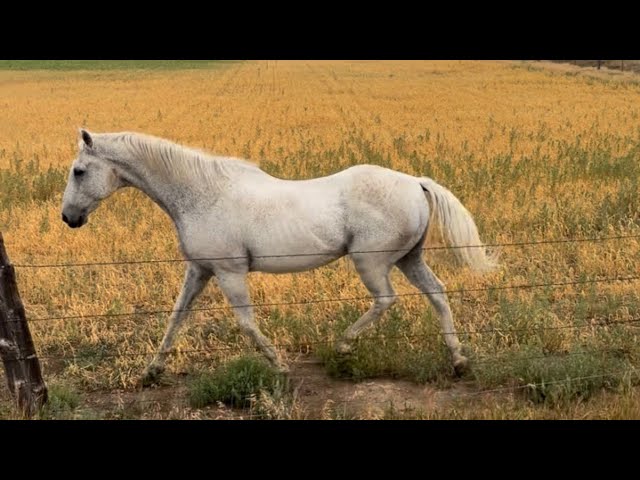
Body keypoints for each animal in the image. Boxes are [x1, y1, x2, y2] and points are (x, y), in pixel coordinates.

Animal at [61, 129, 497, 385]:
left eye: (79, 171)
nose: (69, 218)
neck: (201, 195)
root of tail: (415, 182)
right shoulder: (200, 270)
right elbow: (176, 318)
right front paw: (150, 372)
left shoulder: (229, 272)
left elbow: (246, 323)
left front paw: (280, 365)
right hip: (409, 259)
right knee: (437, 293)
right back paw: (458, 361)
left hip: (371, 262)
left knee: (386, 299)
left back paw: (342, 347)